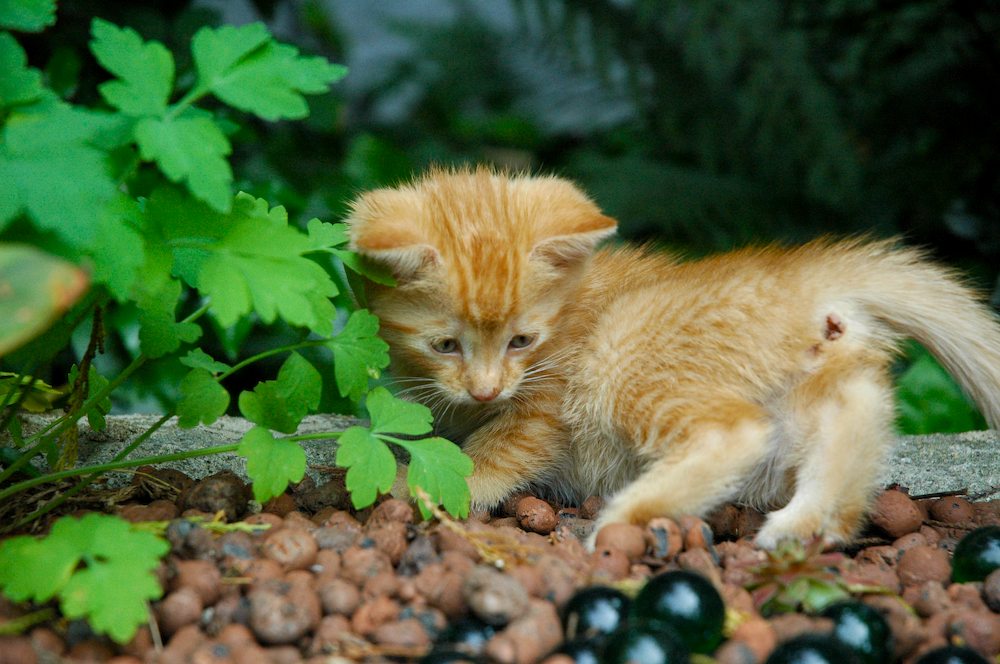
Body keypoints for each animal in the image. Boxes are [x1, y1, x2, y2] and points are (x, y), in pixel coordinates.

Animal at [346, 165, 1000, 544]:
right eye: (444, 345)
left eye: (522, 341)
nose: (485, 388)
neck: (571, 306)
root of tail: (800, 275)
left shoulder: (549, 397)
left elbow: (490, 453)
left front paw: (411, 484)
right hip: (813, 381)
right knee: (859, 407)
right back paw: (813, 519)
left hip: (625, 354)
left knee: (734, 432)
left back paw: (628, 515)